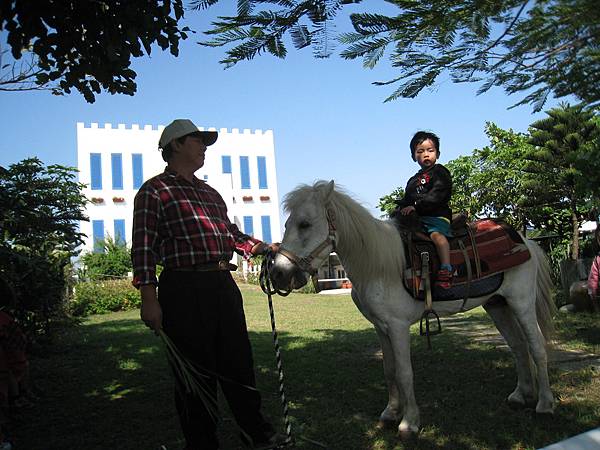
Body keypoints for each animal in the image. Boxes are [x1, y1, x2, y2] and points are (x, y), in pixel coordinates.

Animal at [270, 179, 556, 436]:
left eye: (305, 224)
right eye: (287, 224)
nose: (278, 274)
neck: (379, 265)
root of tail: (525, 242)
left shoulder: (397, 327)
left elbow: (404, 373)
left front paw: (409, 423)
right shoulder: (381, 328)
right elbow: (389, 371)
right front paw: (390, 413)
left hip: (521, 303)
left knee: (536, 347)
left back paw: (544, 404)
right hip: (497, 305)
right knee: (518, 346)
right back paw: (520, 395)